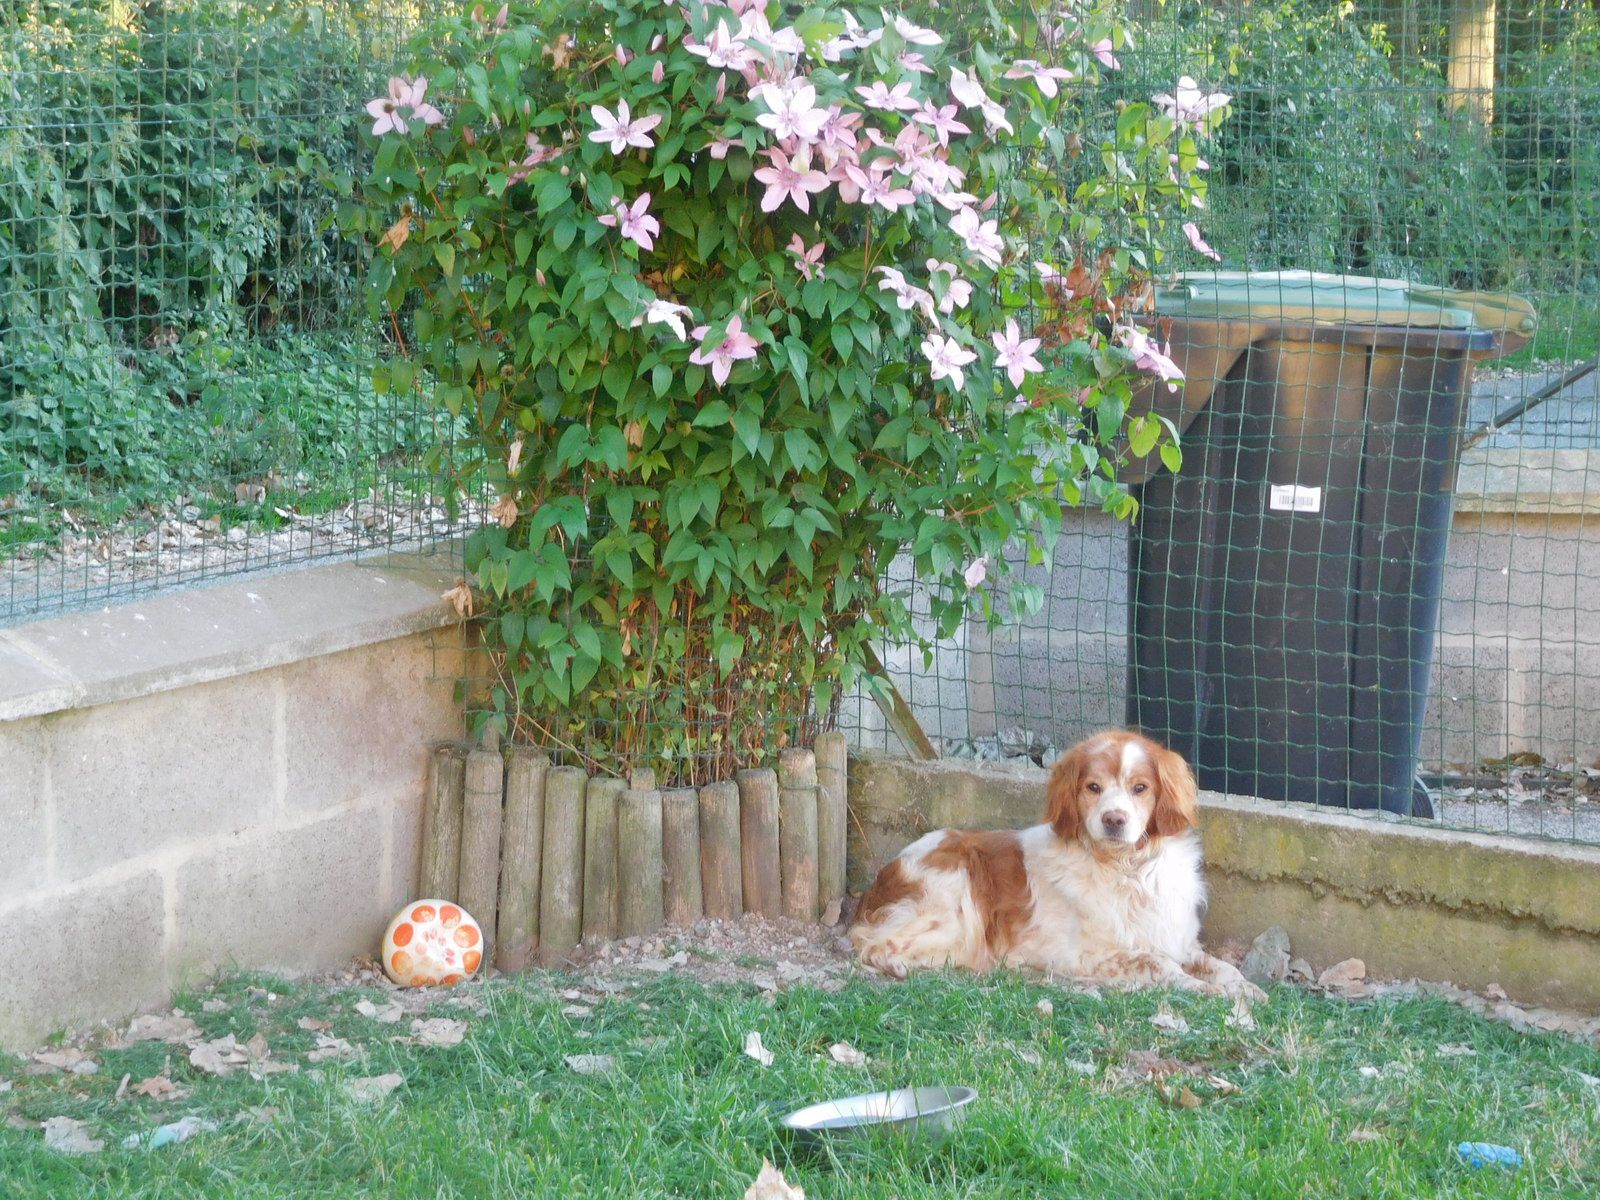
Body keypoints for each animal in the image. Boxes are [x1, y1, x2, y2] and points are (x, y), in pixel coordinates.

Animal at [851, 729, 1260, 998]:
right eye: (1093, 787)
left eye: (1140, 788)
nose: (1114, 819)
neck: (1128, 871)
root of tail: (881, 881)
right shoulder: (1087, 955)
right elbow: (1159, 965)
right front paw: (1207, 990)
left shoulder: (1177, 940)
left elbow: (1220, 965)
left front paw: (1245, 986)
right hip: (954, 903)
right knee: (874, 946)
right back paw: (899, 966)